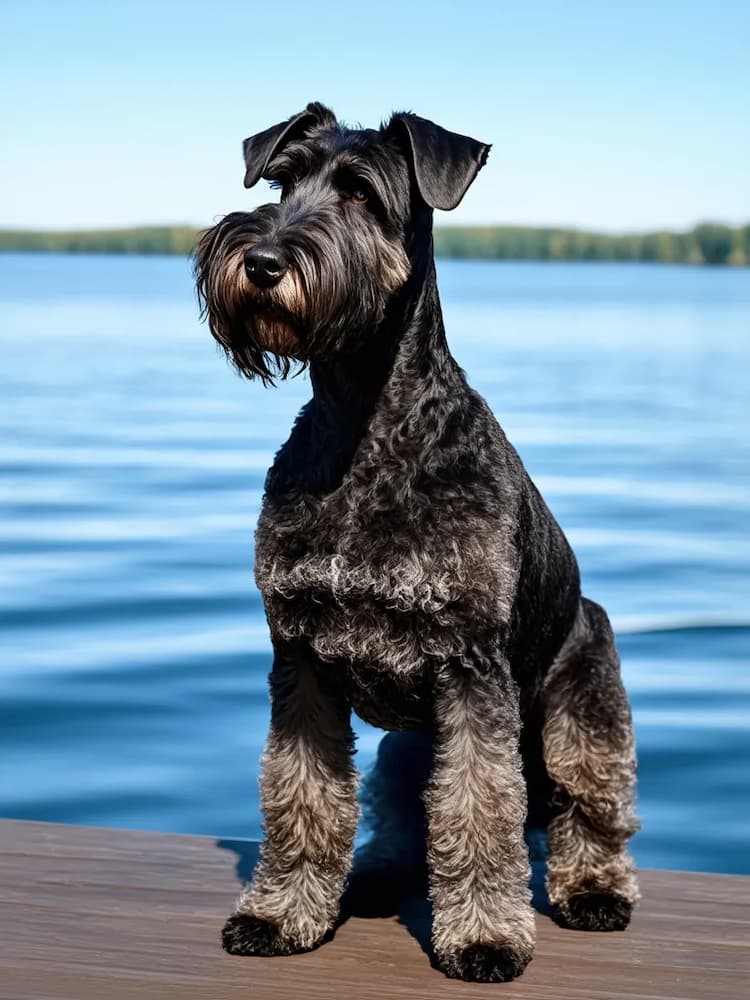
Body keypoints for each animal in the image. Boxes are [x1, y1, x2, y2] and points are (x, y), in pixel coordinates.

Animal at [195, 103, 640, 984]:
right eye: (279, 182)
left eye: (363, 194)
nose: (261, 261)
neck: (366, 430)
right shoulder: (300, 661)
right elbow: (302, 797)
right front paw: (281, 912)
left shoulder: (470, 672)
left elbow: (478, 813)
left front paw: (484, 938)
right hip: (407, 749)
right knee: (405, 819)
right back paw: (371, 877)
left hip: (585, 710)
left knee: (588, 810)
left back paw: (595, 891)